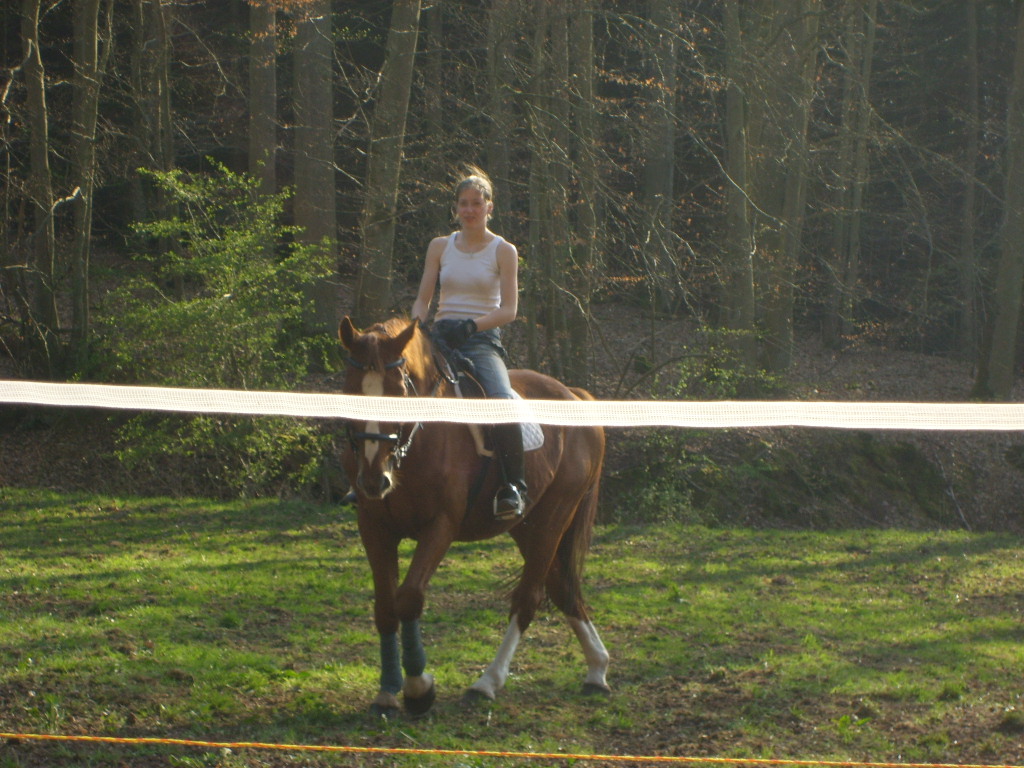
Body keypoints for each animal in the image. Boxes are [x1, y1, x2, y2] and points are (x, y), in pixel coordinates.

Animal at [337, 315, 609, 718]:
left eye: (398, 391)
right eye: (350, 389)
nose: (373, 478)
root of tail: (574, 395)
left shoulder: (441, 526)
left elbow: (409, 598)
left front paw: (419, 691)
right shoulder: (374, 526)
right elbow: (385, 607)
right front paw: (387, 692)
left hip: (554, 516)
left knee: (529, 598)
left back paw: (487, 683)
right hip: (527, 525)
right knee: (562, 588)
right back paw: (597, 670)